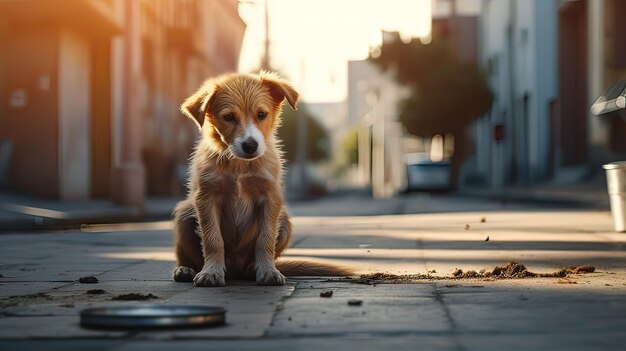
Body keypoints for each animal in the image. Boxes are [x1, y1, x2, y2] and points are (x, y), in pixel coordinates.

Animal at [171, 70, 352, 288]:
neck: (239, 165)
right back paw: (185, 269)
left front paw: (267, 271)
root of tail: (235, 270)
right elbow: (213, 239)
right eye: (229, 117)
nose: (250, 145)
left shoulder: (270, 197)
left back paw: (253, 269)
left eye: (262, 115)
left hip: (285, 220)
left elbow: (265, 239)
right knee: (188, 255)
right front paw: (211, 272)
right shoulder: (206, 197)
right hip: (184, 213)